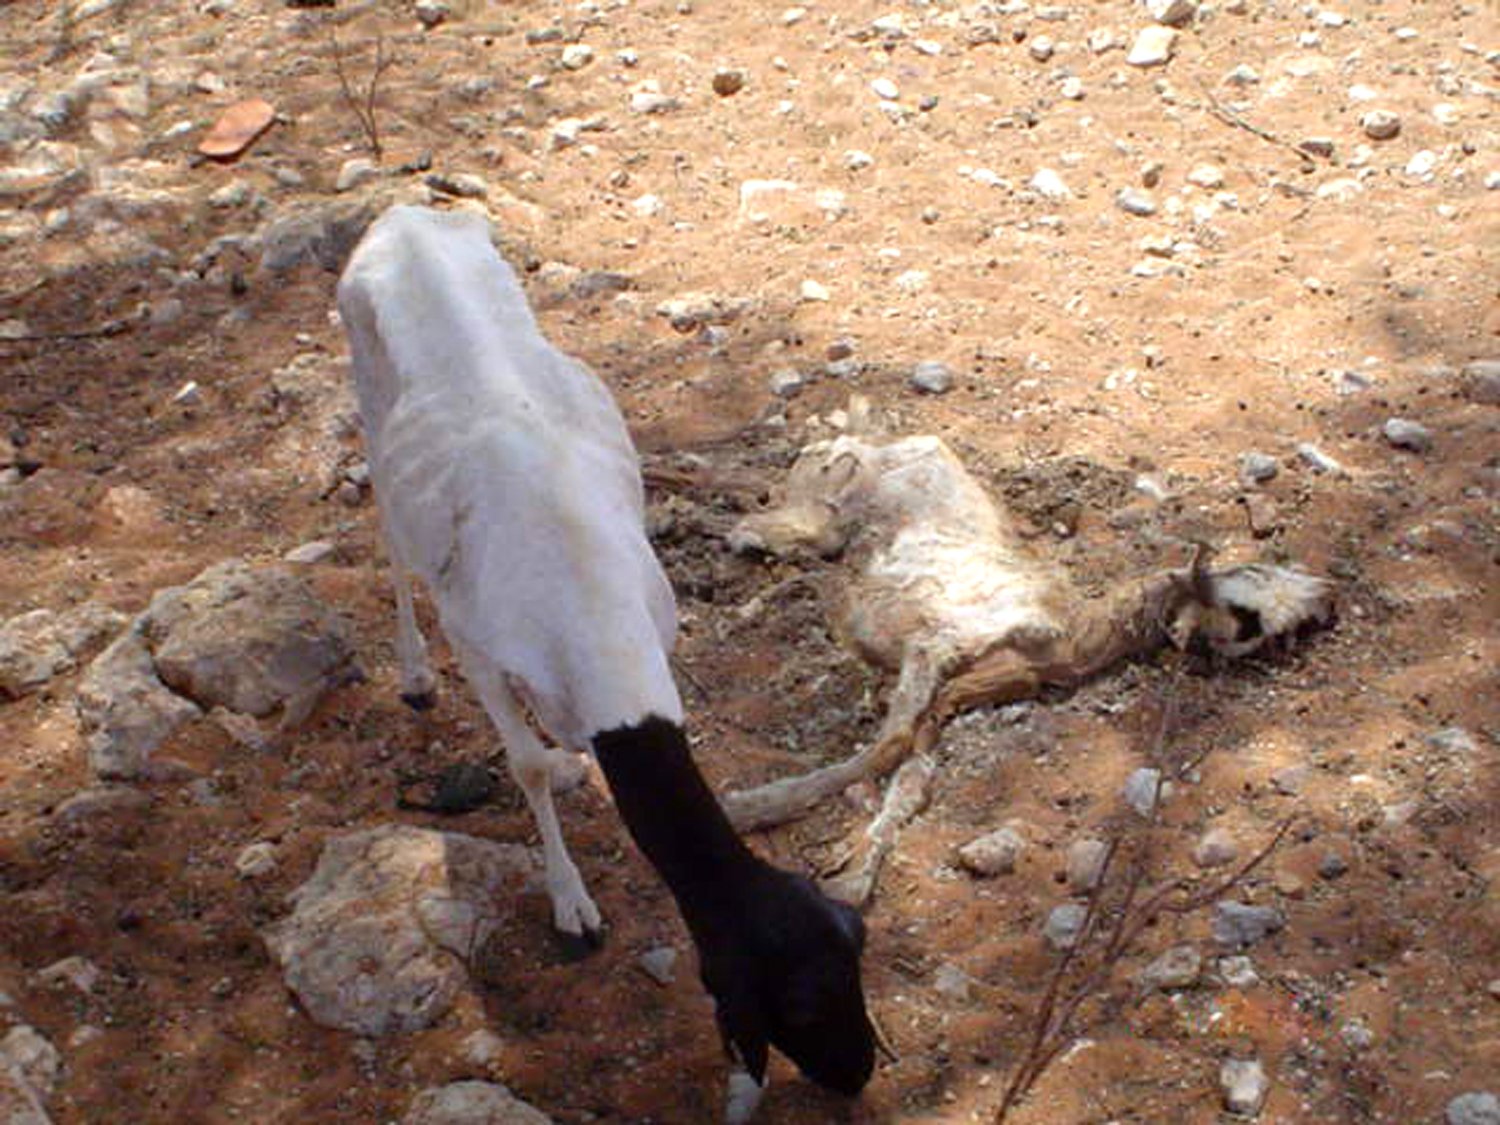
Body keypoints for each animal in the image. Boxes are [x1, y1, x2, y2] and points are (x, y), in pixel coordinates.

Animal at [337, 205, 876, 1122]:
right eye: (796, 1004)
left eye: (855, 961)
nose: (860, 1073)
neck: (581, 586)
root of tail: (406, 215)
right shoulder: (480, 645)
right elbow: (524, 762)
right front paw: (572, 902)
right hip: (369, 401)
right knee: (393, 535)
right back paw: (411, 673)